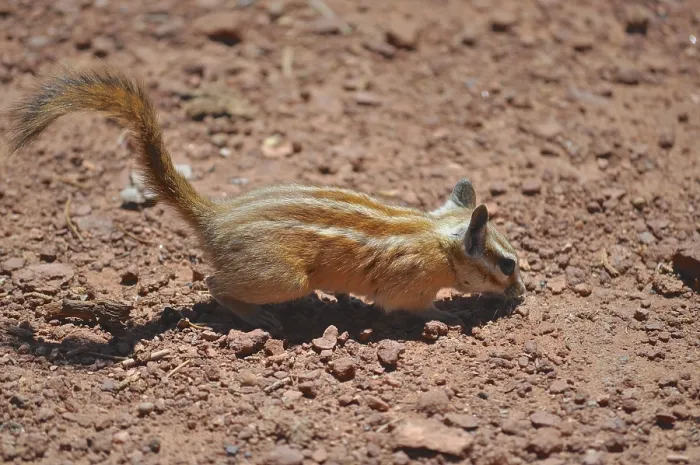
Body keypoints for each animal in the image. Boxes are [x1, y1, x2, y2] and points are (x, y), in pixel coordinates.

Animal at [2, 65, 526, 335]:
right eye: (507, 264)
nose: (522, 295)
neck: (436, 240)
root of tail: (215, 217)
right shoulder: (409, 287)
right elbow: (414, 309)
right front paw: (448, 314)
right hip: (284, 278)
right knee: (214, 283)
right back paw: (258, 315)